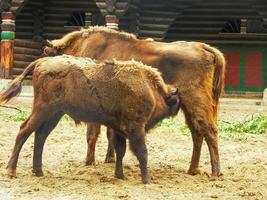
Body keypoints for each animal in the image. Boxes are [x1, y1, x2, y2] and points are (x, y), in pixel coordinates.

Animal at [0, 55, 181, 184]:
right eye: (177, 101)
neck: (150, 87)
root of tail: (42, 61)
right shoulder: (135, 128)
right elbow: (142, 153)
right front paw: (147, 180)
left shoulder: (119, 130)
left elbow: (120, 152)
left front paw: (120, 176)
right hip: (43, 110)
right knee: (24, 131)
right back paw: (11, 171)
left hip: (55, 114)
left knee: (40, 135)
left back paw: (38, 171)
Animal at [43, 26, 226, 177]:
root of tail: (203, 47)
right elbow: (109, 135)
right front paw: (109, 159)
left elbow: (92, 135)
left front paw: (89, 162)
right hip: (188, 107)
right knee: (197, 133)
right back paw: (192, 169)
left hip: (196, 102)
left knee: (209, 131)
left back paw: (215, 172)